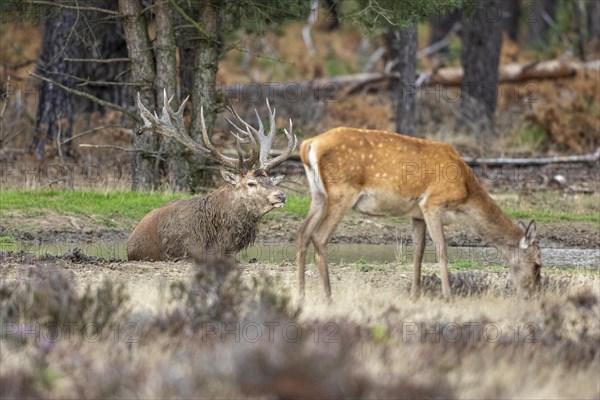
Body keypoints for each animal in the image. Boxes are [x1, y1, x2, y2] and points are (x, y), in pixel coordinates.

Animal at [298, 128, 540, 300]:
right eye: (538, 265)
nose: (532, 295)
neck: (465, 196)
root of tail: (308, 144)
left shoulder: (417, 214)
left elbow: (419, 251)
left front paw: (415, 294)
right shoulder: (432, 203)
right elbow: (442, 249)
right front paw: (448, 296)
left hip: (318, 195)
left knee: (303, 232)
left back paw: (301, 293)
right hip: (342, 192)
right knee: (319, 236)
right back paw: (328, 295)